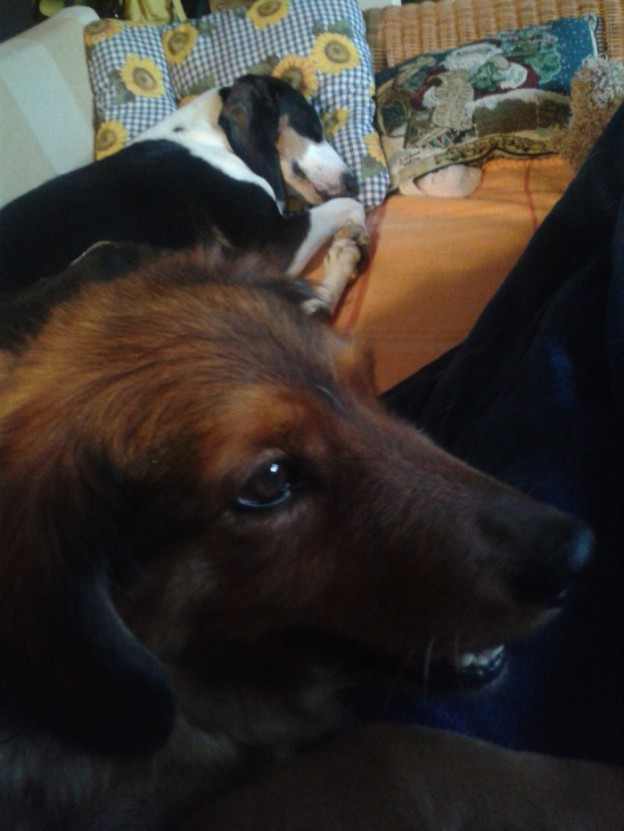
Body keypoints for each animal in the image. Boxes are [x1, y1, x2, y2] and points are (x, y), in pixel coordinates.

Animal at [0, 74, 367, 313]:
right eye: (313, 125)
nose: (354, 180)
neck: (212, 137)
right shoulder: (268, 243)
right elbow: (348, 206)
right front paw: (359, 229)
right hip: (114, 255)